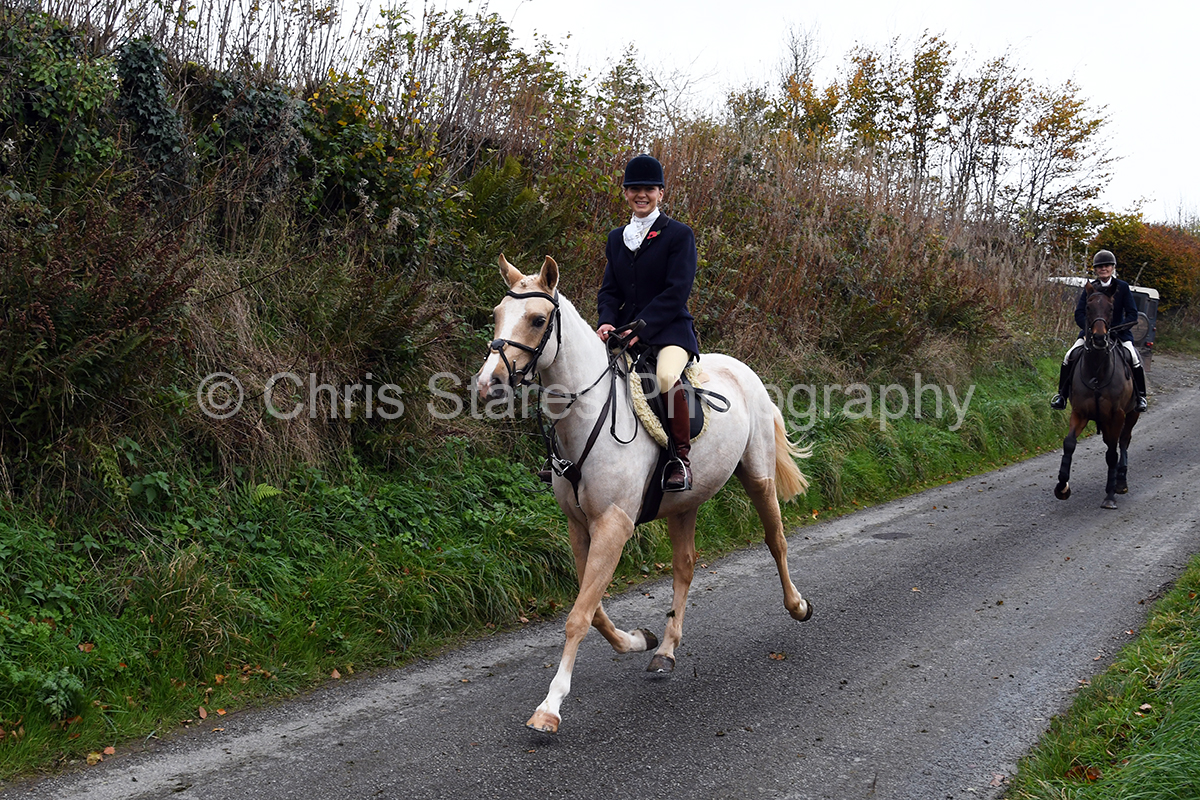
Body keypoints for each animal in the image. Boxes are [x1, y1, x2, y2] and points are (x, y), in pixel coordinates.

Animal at [474, 255, 813, 734]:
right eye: (497, 315)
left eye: (538, 320)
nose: (489, 383)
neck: (586, 415)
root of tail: (743, 369)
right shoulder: (579, 527)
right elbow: (594, 609)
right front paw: (638, 639)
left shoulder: (613, 526)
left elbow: (579, 616)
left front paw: (550, 707)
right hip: (684, 503)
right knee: (685, 567)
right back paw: (665, 651)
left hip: (758, 477)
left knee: (776, 540)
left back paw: (798, 605)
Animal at [1054, 283, 1141, 509]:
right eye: (1089, 307)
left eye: (1111, 308)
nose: (1100, 339)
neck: (1096, 371)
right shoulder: (1080, 413)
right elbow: (1069, 443)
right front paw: (1062, 487)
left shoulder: (1117, 415)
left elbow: (1112, 453)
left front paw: (1110, 495)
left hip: (1132, 414)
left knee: (1123, 441)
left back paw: (1121, 481)